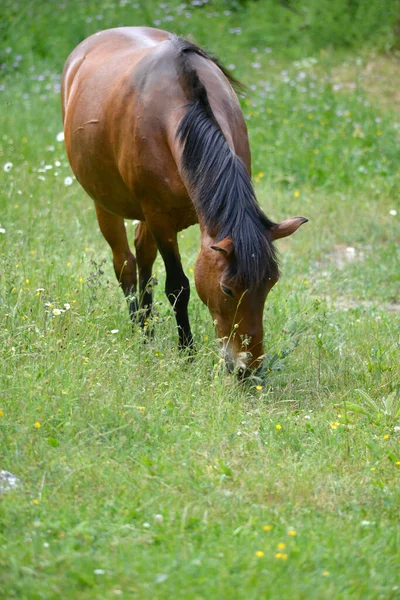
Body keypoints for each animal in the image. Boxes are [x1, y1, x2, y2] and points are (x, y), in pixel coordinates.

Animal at [61, 28, 308, 378]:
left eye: (270, 284)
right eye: (227, 289)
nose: (248, 368)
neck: (177, 116)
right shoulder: (159, 216)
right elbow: (178, 287)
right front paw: (187, 353)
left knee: (143, 258)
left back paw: (147, 328)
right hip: (105, 203)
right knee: (125, 264)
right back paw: (140, 331)